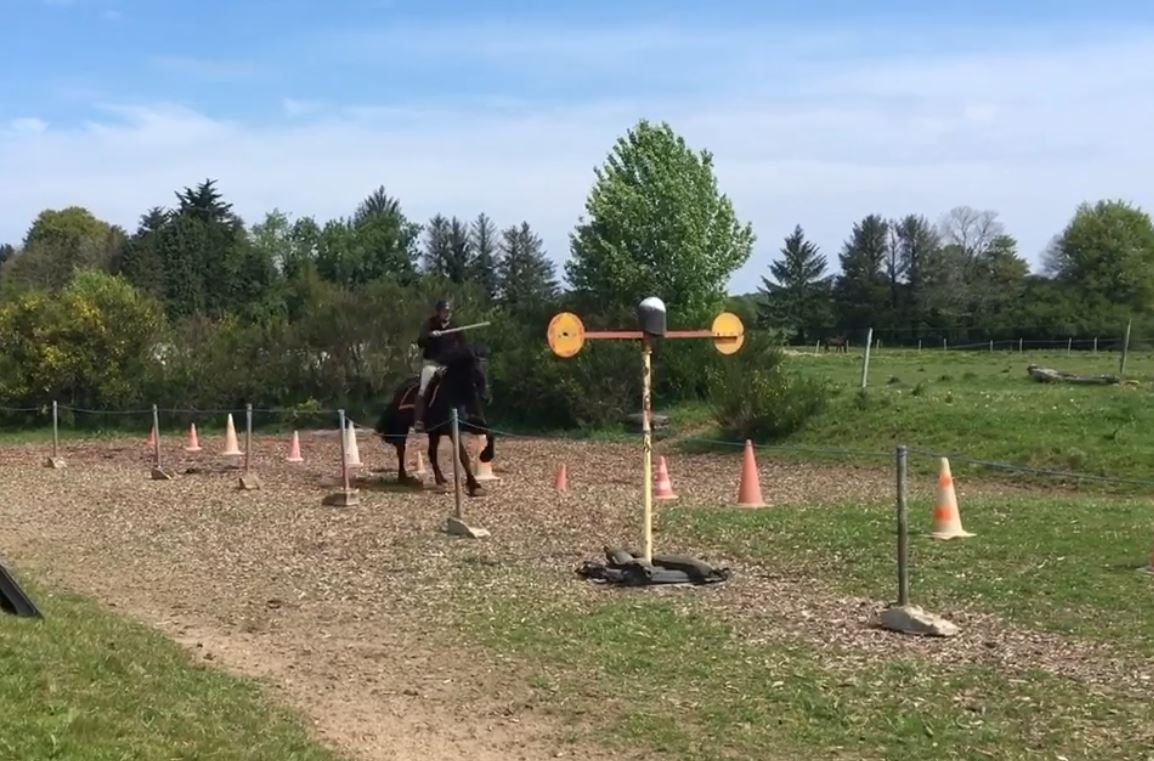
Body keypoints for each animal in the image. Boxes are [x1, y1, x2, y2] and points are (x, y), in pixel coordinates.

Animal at [371, 341, 493, 496]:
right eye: (475, 370)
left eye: (486, 369)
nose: (486, 397)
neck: (458, 394)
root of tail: (398, 392)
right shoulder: (452, 429)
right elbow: (463, 455)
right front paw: (474, 486)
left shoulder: (471, 424)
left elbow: (490, 433)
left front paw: (486, 456)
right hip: (403, 428)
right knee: (401, 449)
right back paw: (404, 477)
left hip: (434, 432)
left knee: (431, 454)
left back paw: (440, 479)